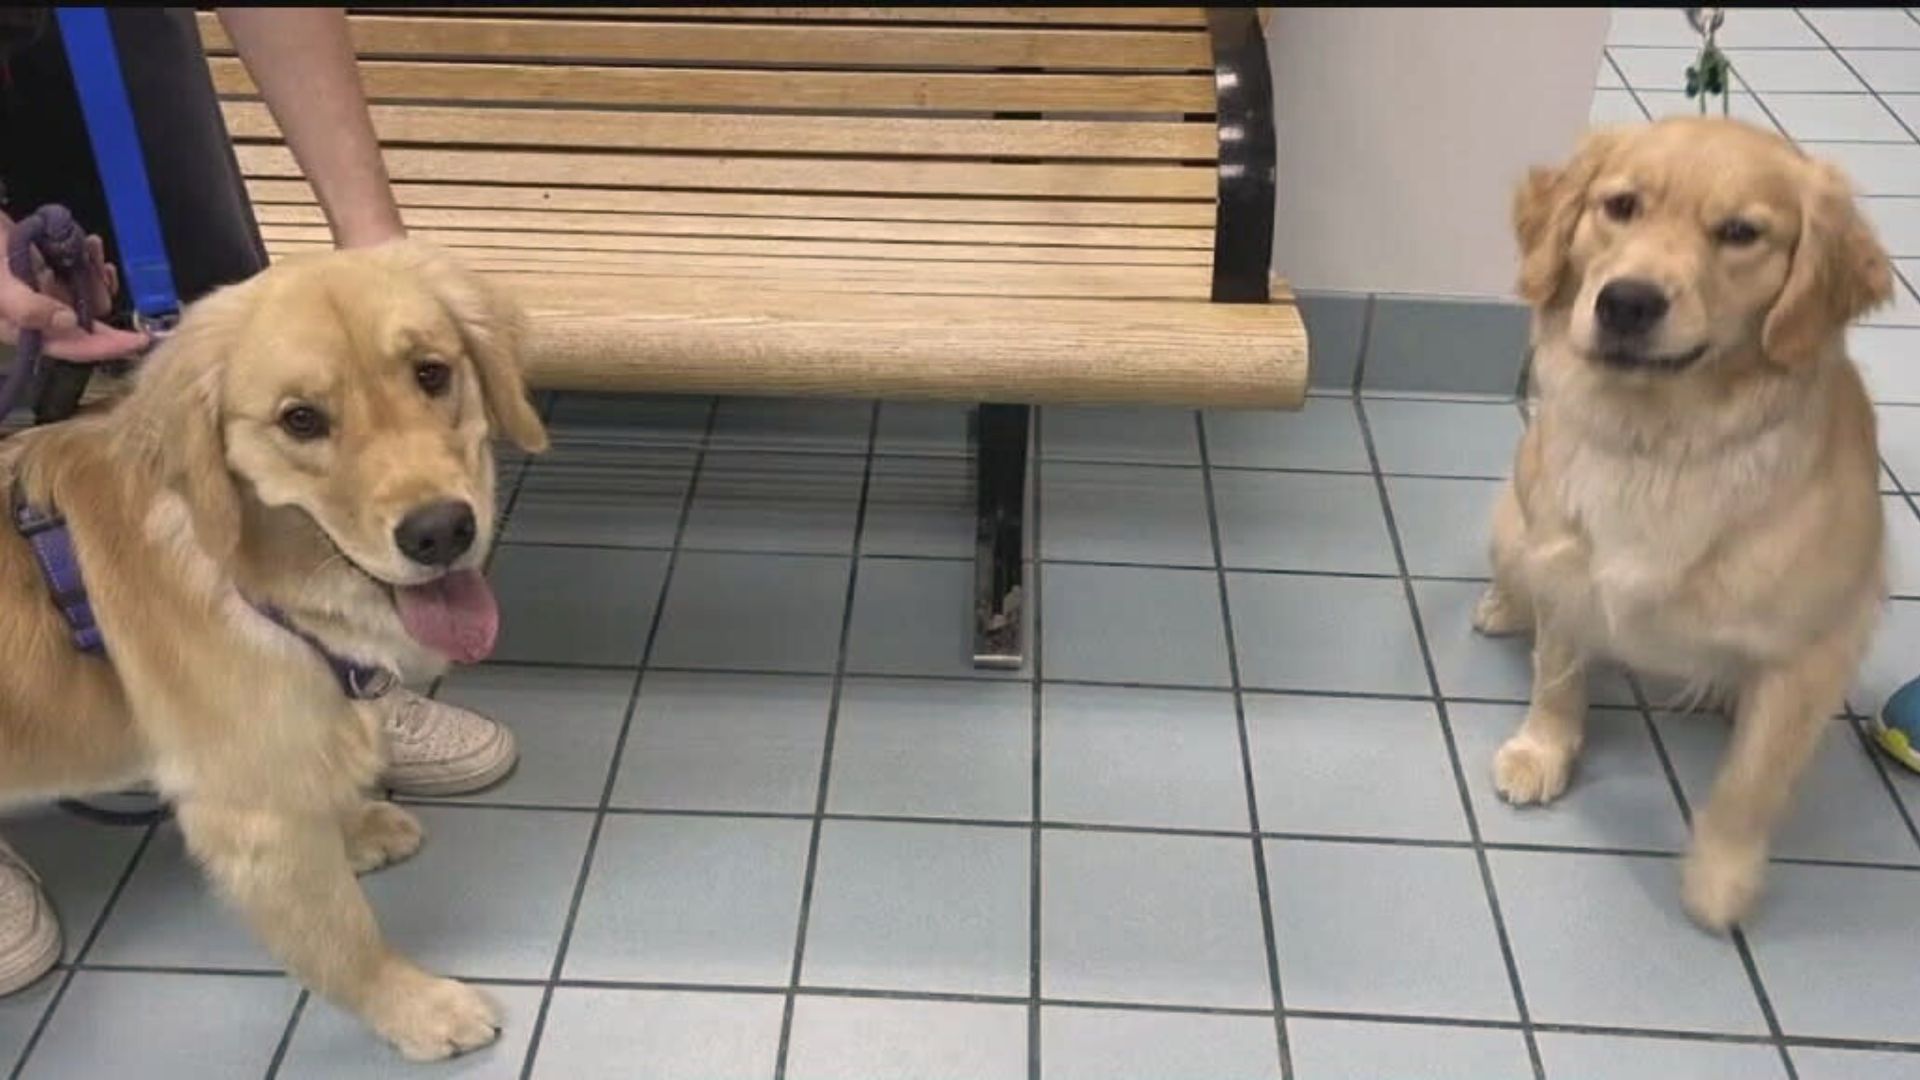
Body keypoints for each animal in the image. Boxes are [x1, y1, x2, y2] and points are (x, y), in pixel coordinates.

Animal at [0, 239, 549, 1053]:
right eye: (300, 420)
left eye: (431, 373)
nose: (441, 531)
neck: (251, 576)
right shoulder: (251, 814)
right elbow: (342, 933)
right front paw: (417, 1007)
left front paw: (355, 827)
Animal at [1482, 115, 1889, 926]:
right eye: (1620, 205)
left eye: (1740, 233)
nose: (1627, 302)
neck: (1662, 443)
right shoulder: (1566, 567)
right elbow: (1557, 677)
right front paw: (1543, 750)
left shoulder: (1813, 650)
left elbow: (1750, 782)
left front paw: (1720, 877)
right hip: (1512, 519)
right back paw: (1503, 608)